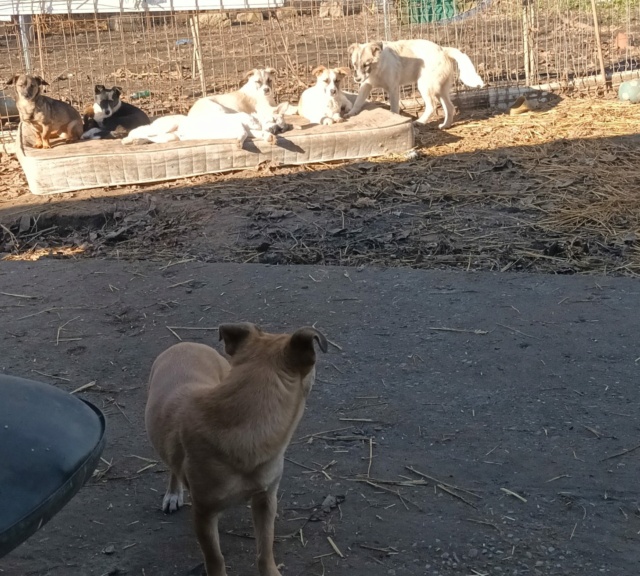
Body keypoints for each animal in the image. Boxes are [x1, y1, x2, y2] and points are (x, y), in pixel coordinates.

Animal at [145, 322, 324, 576]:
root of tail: (185, 344)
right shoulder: (204, 514)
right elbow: (215, 558)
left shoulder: (265, 499)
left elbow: (265, 548)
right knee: (173, 467)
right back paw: (173, 493)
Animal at [348, 40, 482, 129]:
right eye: (354, 64)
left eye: (366, 64)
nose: (357, 79)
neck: (377, 68)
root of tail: (442, 49)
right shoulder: (366, 85)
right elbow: (358, 102)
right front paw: (350, 114)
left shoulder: (393, 88)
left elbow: (394, 108)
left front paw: (396, 119)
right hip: (440, 90)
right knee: (450, 107)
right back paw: (445, 125)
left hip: (424, 86)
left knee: (432, 106)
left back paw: (420, 122)